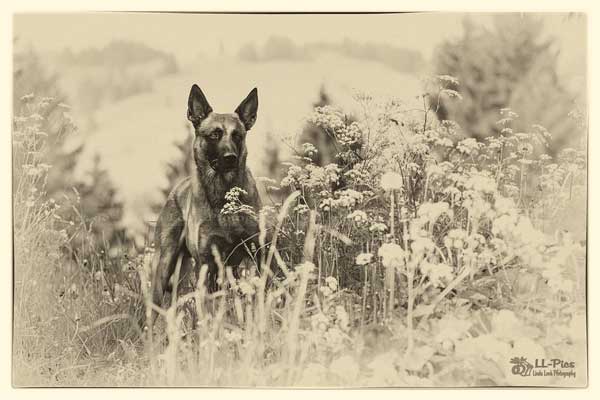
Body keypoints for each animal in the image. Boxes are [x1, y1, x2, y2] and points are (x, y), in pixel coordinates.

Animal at [151, 84, 262, 312]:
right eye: (214, 135)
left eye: (237, 135)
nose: (231, 158)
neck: (223, 197)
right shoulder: (206, 264)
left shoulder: (253, 253)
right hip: (164, 266)